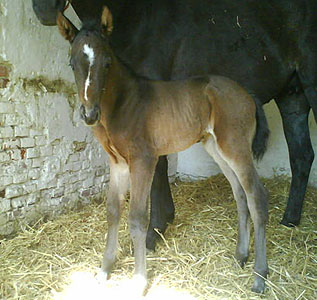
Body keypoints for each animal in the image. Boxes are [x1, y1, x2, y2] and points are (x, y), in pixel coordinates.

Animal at [32, 0, 316, 250]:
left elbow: (158, 167)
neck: (136, 17)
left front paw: (153, 231)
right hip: (292, 95)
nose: (43, 10)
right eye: (71, 63)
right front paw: (164, 220)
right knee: (301, 156)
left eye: (107, 64)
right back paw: (290, 220)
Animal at [56, 7, 266, 296]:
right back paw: (241, 255)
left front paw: (138, 281)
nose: (89, 114)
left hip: (236, 146)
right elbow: (113, 211)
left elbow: (137, 218)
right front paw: (104, 270)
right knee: (240, 194)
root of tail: (248, 94)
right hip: (217, 147)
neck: (124, 104)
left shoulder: (144, 160)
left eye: (108, 63)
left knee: (256, 196)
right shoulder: (118, 163)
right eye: (72, 64)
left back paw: (260, 276)